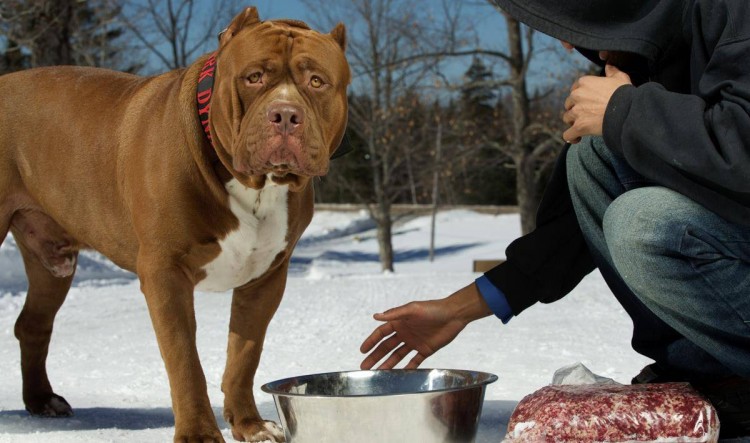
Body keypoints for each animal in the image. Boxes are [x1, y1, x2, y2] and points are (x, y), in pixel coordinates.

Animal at [0, 6, 350, 443]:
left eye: (317, 81)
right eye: (254, 76)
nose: (285, 114)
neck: (254, 185)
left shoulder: (267, 278)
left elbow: (244, 355)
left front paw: (249, 426)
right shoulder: (165, 272)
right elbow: (185, 359)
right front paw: (199, 432)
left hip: (52, 262)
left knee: (33, 323)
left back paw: (42, 400)